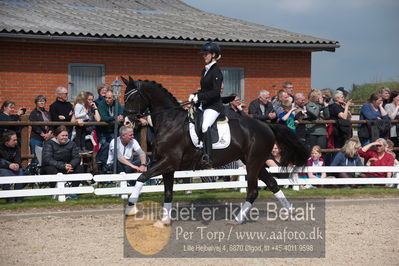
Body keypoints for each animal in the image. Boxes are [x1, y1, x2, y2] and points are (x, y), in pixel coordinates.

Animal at [122, 77, 310, 224]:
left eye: (133, 97)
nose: (127, 122)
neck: (170, 122)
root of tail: (267, 126)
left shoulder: (168, 162)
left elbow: (141, 177)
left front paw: (130, 208)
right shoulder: (168, 166)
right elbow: (167, 192)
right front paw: (165, 220)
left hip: (253, 163)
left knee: (253, 191)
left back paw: (238, 220)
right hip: (254, 162)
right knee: (272, 184)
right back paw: (289, 212)